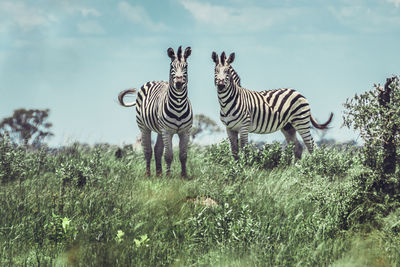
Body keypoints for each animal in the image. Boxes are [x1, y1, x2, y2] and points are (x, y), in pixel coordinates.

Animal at [118, 46, 193, 178]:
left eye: (186, 66)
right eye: (172, 66)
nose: (179, 84)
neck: (178, 104)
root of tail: (154, 80)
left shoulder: (185, 131)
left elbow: (183, 155)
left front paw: (183, 176)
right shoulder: (167, 131)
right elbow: (168, 155)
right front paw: (168, 177)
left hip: (159, 129)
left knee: (157, 149)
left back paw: (159, 174)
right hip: (144, 127)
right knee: (148, 150)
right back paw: (149, 174)